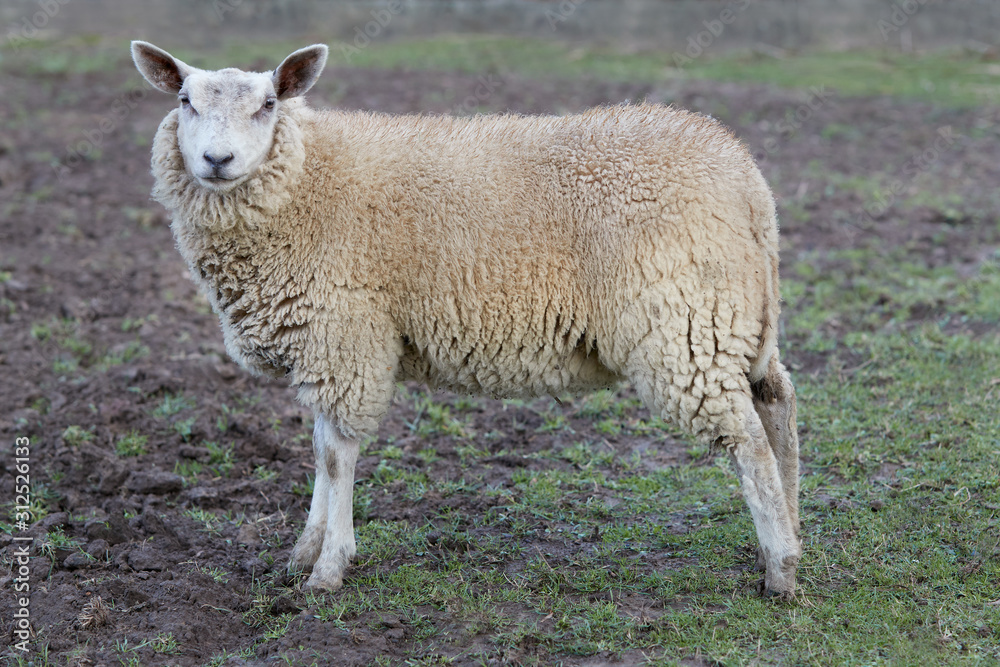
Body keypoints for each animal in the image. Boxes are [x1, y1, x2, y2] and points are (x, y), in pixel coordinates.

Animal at [131, 41, 802, 599]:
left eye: (268, 104)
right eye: (185, 101)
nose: (217, 159)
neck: (305, 180)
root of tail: (746, 177)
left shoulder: (345, 335)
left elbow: (337, 454)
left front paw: (328, 570)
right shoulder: (328, 341)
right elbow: (321, 448)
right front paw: (303, 553)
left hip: (683, 324)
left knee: (747, 439)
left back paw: (780, 571)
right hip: (728, 319)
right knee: (777, 403)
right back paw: (791, 534)